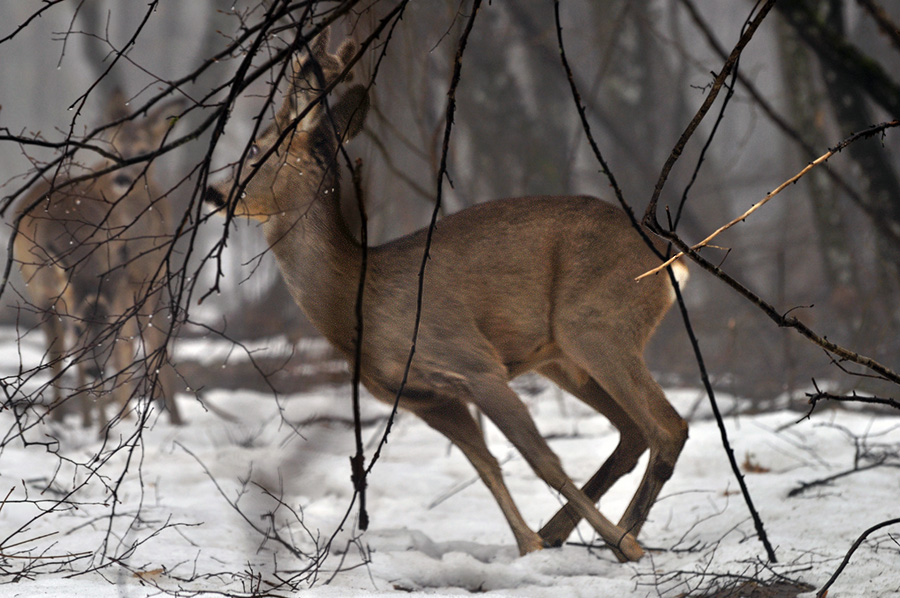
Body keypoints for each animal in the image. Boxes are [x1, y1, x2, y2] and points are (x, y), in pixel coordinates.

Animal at [15, 90, 185, 432]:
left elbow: (149, 341)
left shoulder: (149, 278)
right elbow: (120, 343)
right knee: (61, 353)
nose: (121, 177)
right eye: (112, 147)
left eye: (144, 150)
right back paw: (76, 416)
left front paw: (170, 418)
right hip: (43, 290)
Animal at [206, 30, 688, 564]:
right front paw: (530, 544)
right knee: (633, 431)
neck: (360, 296)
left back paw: (625, 539)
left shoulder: (475, 362)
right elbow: (487, 466)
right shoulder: (426, 398)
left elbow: (543, 460)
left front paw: (612, 546)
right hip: (562, 357)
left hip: (596, 323)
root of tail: (671, 260)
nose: (215, 191)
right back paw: (570, 531)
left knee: (667, 427)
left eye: (259, 149)